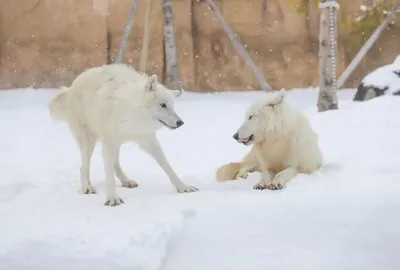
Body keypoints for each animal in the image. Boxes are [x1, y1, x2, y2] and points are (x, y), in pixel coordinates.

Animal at [48, 63, 198, 207]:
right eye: (162, 105)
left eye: (172, 106)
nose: (180, 122)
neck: (132, 113)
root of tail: (71, 87)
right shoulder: (109, 142)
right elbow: (108, 174)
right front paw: (112, 198)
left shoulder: (148, 139)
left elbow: (167, 165)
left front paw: (182, 187)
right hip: (89, 140)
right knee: (83, 167)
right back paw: (87, 187)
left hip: (115, 143)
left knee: (115, 163)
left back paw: (126, 181)